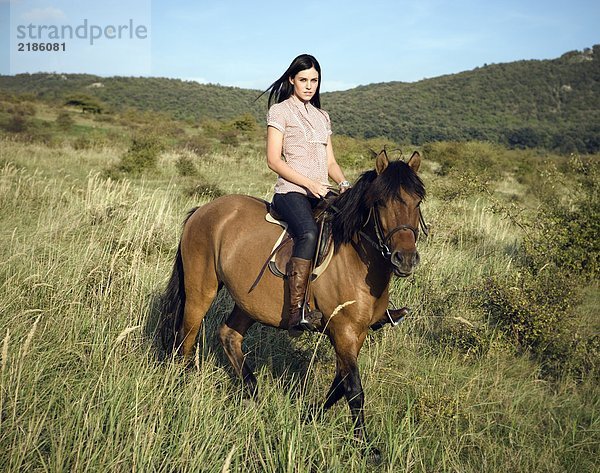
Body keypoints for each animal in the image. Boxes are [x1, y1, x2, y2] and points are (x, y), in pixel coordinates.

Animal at [162, 149, 424, 456]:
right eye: (380, 202)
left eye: (417, 202)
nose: (405, 259)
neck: (356, 257)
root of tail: (203, 210)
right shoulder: (344, 331)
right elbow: (354, 390)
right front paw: (366, 447)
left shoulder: (356, 333)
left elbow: (341, 382)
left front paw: (309, 415)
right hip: (200, 291)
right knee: (186, 338)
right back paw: (183, 387)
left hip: (248, 302)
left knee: (228, 335)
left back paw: (252, 394)